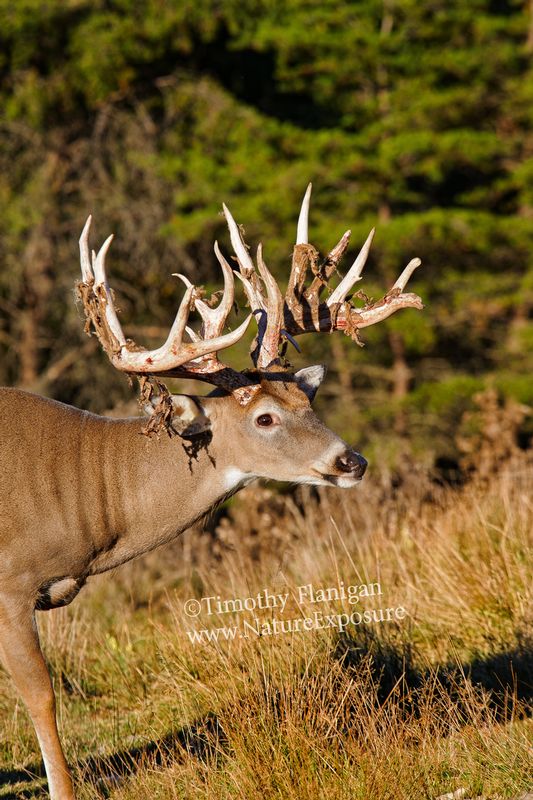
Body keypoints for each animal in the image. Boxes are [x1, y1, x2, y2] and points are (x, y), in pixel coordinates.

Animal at [0, 184, 423, 799]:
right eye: (265, 418)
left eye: (308, 401)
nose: (352, 461)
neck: (81, 487)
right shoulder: (9, 583)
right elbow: (41, 696)